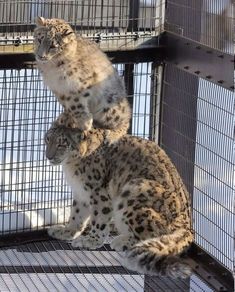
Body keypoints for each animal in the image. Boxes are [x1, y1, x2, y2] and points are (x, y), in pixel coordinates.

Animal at [44, 123, 193, 278]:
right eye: (48, 138)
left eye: (62, 143)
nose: (48, 156)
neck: (70, 167)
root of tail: (187, 226)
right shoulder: (80, 193)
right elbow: (77, 215)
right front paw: (67, 231)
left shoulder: (98, 192)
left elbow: (99, 219)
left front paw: (91, 240)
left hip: (135, 191)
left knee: (150, 234)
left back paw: (121, 241)